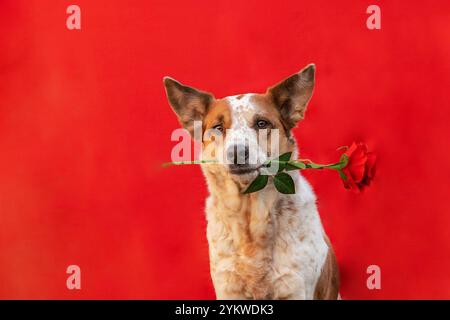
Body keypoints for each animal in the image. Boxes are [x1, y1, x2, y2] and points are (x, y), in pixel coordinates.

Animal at [163, 64, 340, 300]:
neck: (250, 214)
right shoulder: (228, 288)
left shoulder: (294, 287)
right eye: (218, 127)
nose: (237, 152)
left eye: (262, 123)